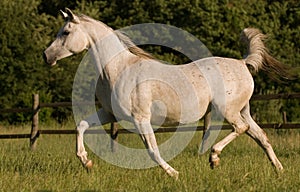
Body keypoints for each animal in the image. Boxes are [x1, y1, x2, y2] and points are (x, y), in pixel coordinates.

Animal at [44, 8, 286, 178]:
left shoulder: (140, 118)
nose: (46, 56)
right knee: (261, 137)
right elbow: (81, 126)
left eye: (66, 32)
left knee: (241, 129)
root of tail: (243, 63)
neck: (119, 69)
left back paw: (214, 157)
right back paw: (279, 170)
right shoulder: (109, 114)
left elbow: (152, 150)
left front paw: (173, 174)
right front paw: (86, 162)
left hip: (228, 110)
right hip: (242, 110)